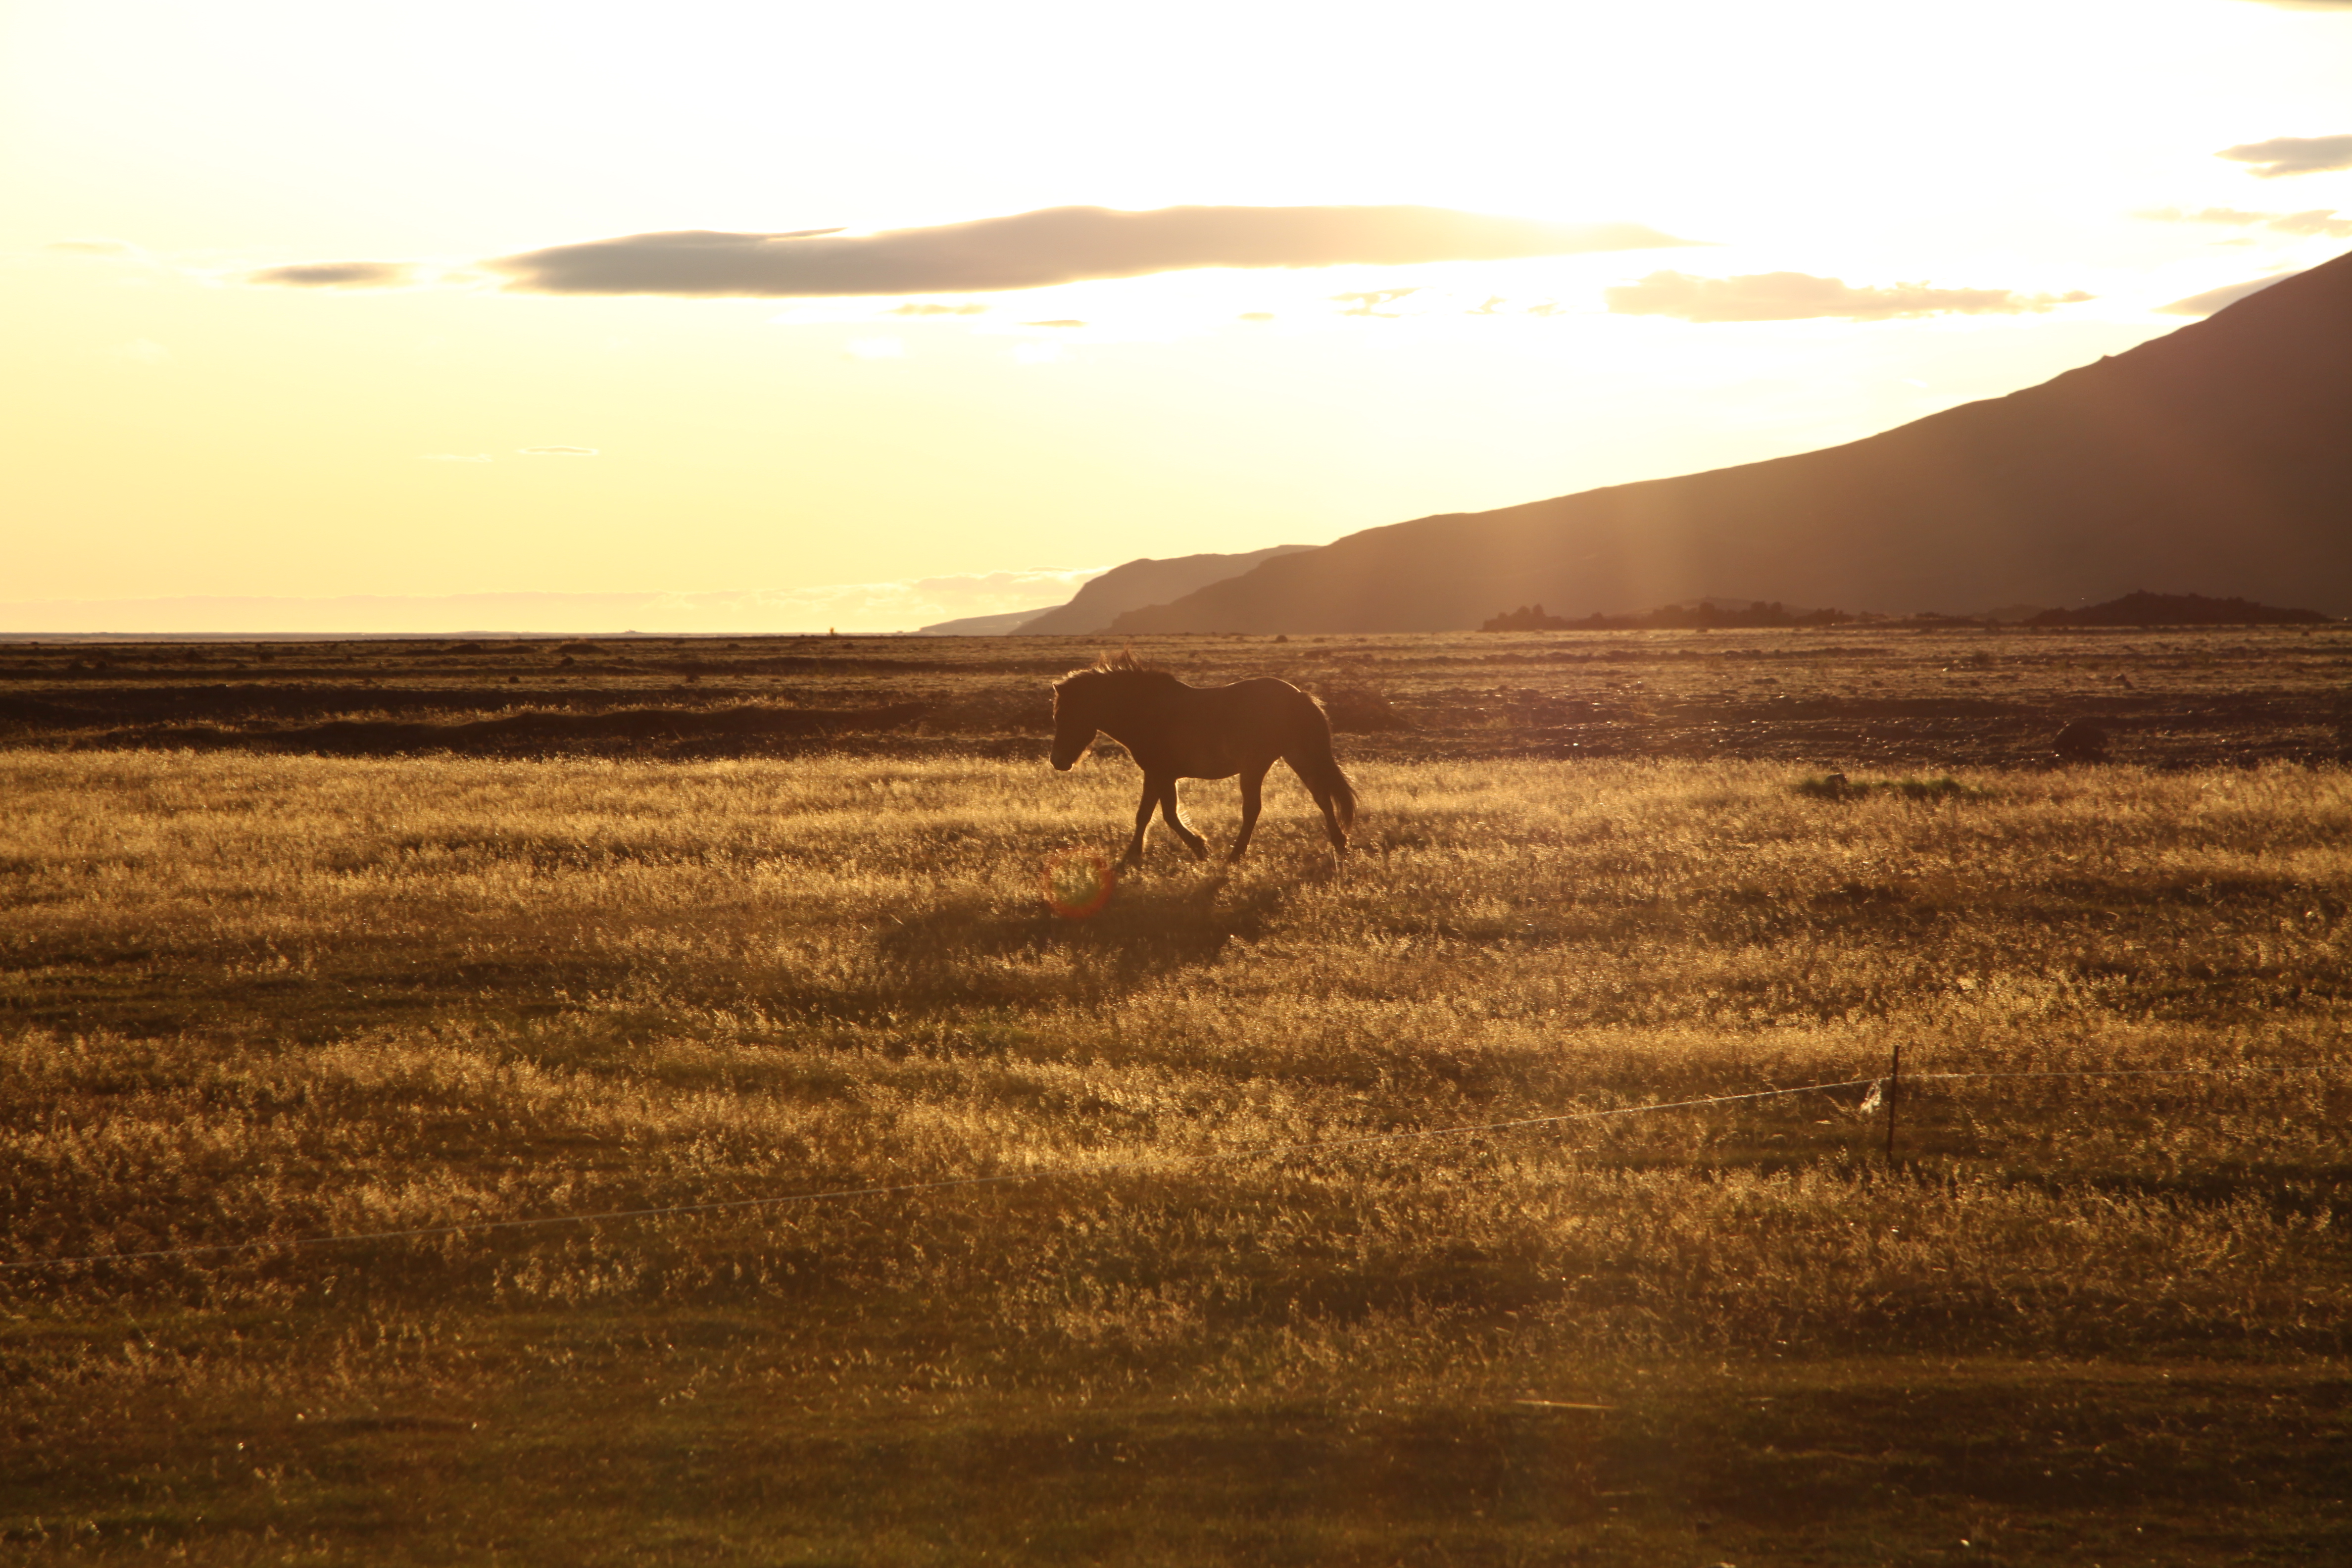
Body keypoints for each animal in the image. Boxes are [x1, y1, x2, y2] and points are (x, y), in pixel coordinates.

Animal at [1049, 652, 1356, 865]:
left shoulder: (1163, 775)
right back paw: (1340, 845)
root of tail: (1299, 696)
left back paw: (1235, 856)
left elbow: (1168, 815)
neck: (1147, 711)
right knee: (1322, 797)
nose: (1057, 761)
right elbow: (1145, 815)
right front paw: (1132, 857)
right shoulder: (1155, 774)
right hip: (1297, 756)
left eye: (1063, 716)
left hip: (1256, 766)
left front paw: (1200, 847)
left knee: (1253, 809)